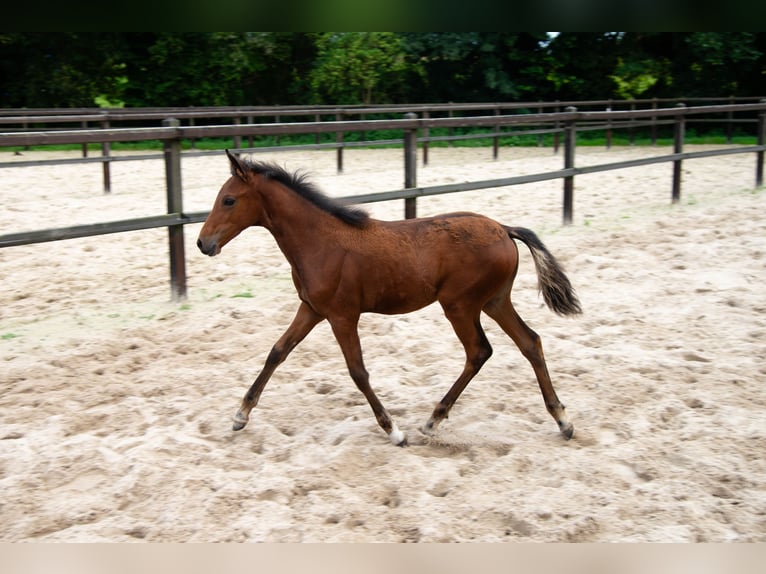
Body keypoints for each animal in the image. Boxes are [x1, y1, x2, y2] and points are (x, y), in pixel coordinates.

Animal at [198, 151, 584, 448]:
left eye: (229, 200)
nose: (204, 243)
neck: (320, 242)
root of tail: (504, 229)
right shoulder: (311, 309)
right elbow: (277, 351)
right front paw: (240, 415)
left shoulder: (342, 316)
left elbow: (357, 371)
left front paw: (394, 431)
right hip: (494, 301)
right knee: (530, 342)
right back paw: (563, 421)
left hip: (460, 305)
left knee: (479, 352)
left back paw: (431, 421)